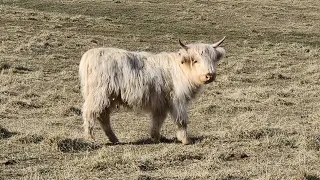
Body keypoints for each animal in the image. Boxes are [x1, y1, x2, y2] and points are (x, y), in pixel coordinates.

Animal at [79, 37, 226, 145]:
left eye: (213, 59)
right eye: (195, 60)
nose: (209, 75)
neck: (181, 70)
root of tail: (90, 54)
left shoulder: (161, 103)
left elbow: (158, 120)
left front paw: (155, 137)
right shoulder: (177, 100)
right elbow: (182, 120)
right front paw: (186, 140)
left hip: (108, 98)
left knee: (103, 117)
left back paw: (114, 139)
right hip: (99, 95)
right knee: (89, 113)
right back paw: (90, 138)